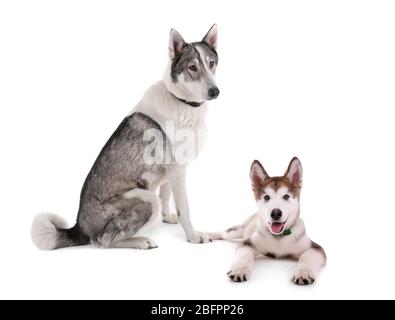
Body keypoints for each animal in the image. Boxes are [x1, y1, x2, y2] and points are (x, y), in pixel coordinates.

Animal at [31, 24, 220, 250]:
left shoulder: (172, 171)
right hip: (147, 199)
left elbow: (167, 195)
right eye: (192, 67)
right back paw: (141, 241)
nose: (215, 91)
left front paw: (168, 218)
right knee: (102, 241)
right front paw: (193, 236)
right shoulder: (177, 170)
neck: (181, 101)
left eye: (211, 63)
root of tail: (80, 227)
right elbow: (184, 208)